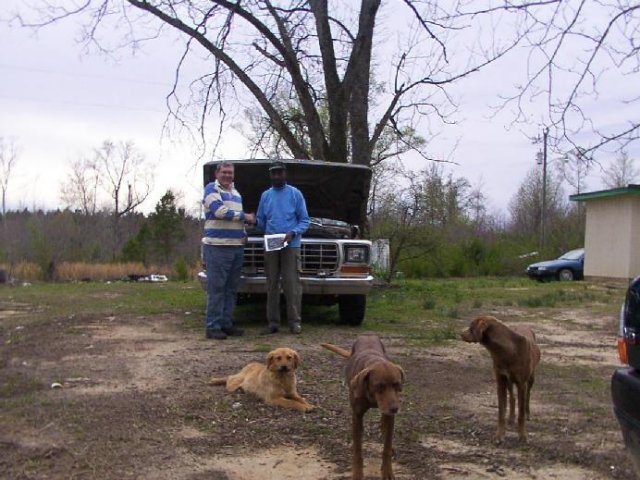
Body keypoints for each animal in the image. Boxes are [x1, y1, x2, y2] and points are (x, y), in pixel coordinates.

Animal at [320, 334, 404, 480]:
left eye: (397, 384)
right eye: (379, 386)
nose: (395, 409)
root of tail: (367, 335)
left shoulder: (389, 414)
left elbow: (386, 447)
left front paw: (387, 471)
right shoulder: (357, 416)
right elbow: (358, 450)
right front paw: (357, 473)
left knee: (384, 424)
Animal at [460, 314, 540, 444]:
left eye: (471, 327)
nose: (460, 334)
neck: (506, 351)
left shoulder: (521, 383)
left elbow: (521, 414)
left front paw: (522, 435)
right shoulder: (501, 381)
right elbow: (501, 412)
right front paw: (499, 435)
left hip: (531, 378)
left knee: (527, 396)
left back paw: (528, 413)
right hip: (509, 381)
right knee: (512, 398)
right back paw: (511, 418)